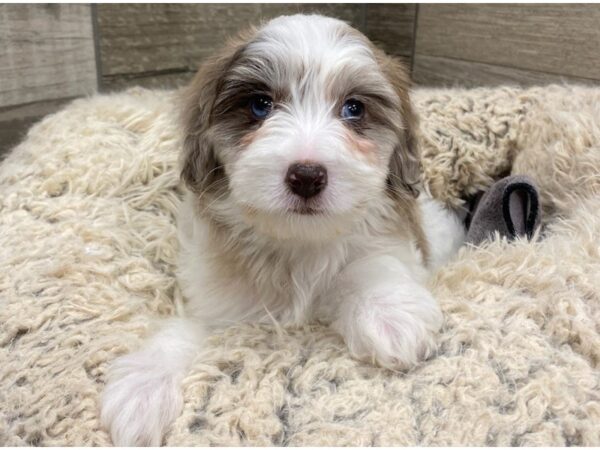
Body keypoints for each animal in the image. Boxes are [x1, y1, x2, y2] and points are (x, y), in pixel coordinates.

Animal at [101, 14, 466, 446]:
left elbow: (372, 264)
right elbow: (188, 328)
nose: (307, 175)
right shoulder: (218, 302)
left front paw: (389, 313)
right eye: (260, 105)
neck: (297, 242)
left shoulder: (386, 240)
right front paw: (144, 386)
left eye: (353, 108)